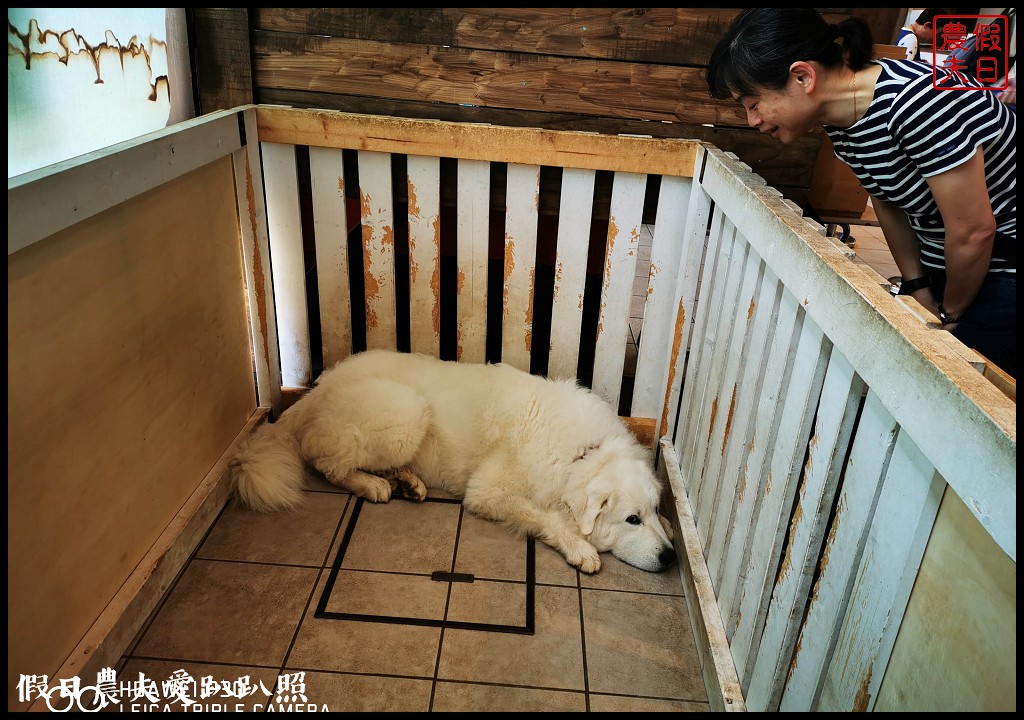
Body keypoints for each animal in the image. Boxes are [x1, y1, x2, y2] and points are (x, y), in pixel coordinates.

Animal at [234, 348, 675, 573]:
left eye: (653, 511)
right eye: (632, 519)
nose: (671, 558)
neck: (581, 453)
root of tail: (314, 391)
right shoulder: (488, 492)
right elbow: (545, 516)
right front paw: (579, 547)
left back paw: (407, 482)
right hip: (408, 412)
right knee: (325, 462)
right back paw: (374, 485)